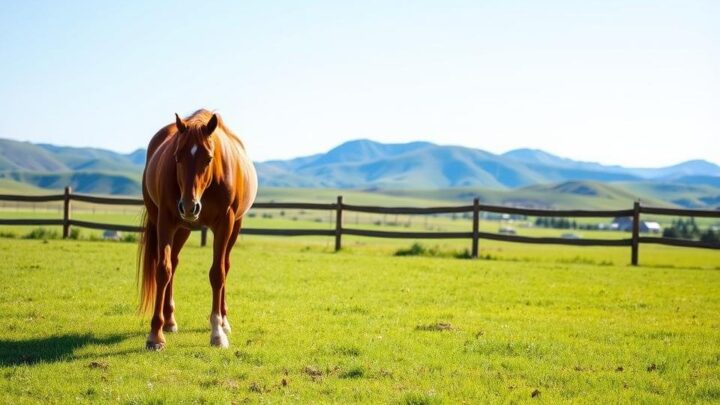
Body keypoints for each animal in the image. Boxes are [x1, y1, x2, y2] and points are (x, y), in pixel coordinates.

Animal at [138, 109, 257, 350]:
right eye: (177, 156)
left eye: (209, 158)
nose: (189, 206)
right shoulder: (165, 221)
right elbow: (163, 270)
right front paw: (155, 334)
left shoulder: (225, 223)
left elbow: (217, 273)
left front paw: (217, 332)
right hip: (180, 227)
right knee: (173, 264)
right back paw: (169, 321)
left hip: (232, 227)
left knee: (225, 266)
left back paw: (224, 320)